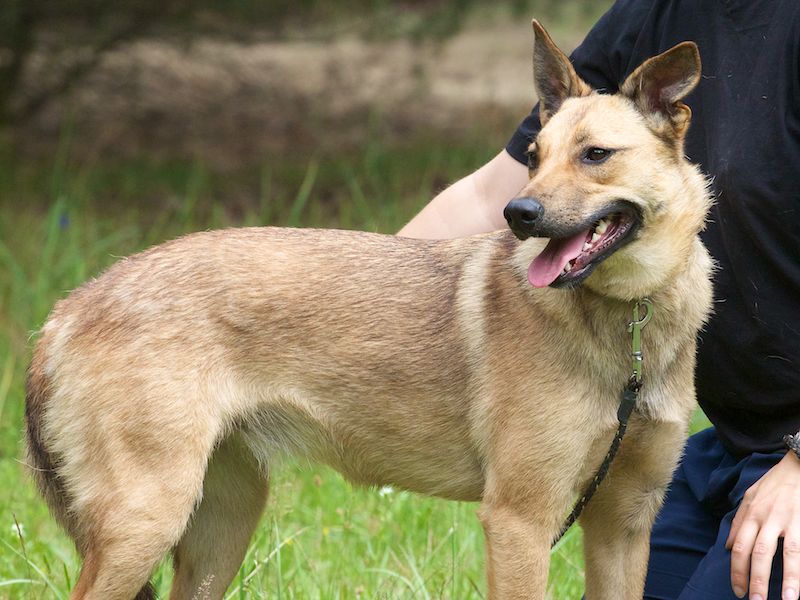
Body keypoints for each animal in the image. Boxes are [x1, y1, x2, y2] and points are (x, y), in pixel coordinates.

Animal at [25, 20, 713, 600]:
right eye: (534, 156)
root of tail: (69, 307)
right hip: (146, 523)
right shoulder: (521, 520)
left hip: (221, 525)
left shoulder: (623, 523)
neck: (631, 328)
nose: (519, 215)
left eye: (596, 155)